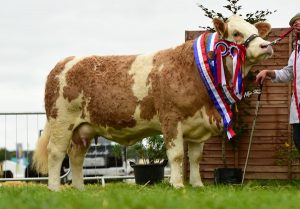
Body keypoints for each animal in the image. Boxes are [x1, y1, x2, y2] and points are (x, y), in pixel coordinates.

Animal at [32, 15, 272, 191]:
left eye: (256, 31)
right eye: (236, 33)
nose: (266, 45)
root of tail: (65, 62)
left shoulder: (198, 123)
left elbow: (195, 158)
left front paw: (197, 186)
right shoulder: (170, 118)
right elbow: (176, 155)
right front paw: (177, 185)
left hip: (84, 129)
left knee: (76, 156)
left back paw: (80, 190)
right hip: (61, 121)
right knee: (56, 153)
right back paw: (55, 189)